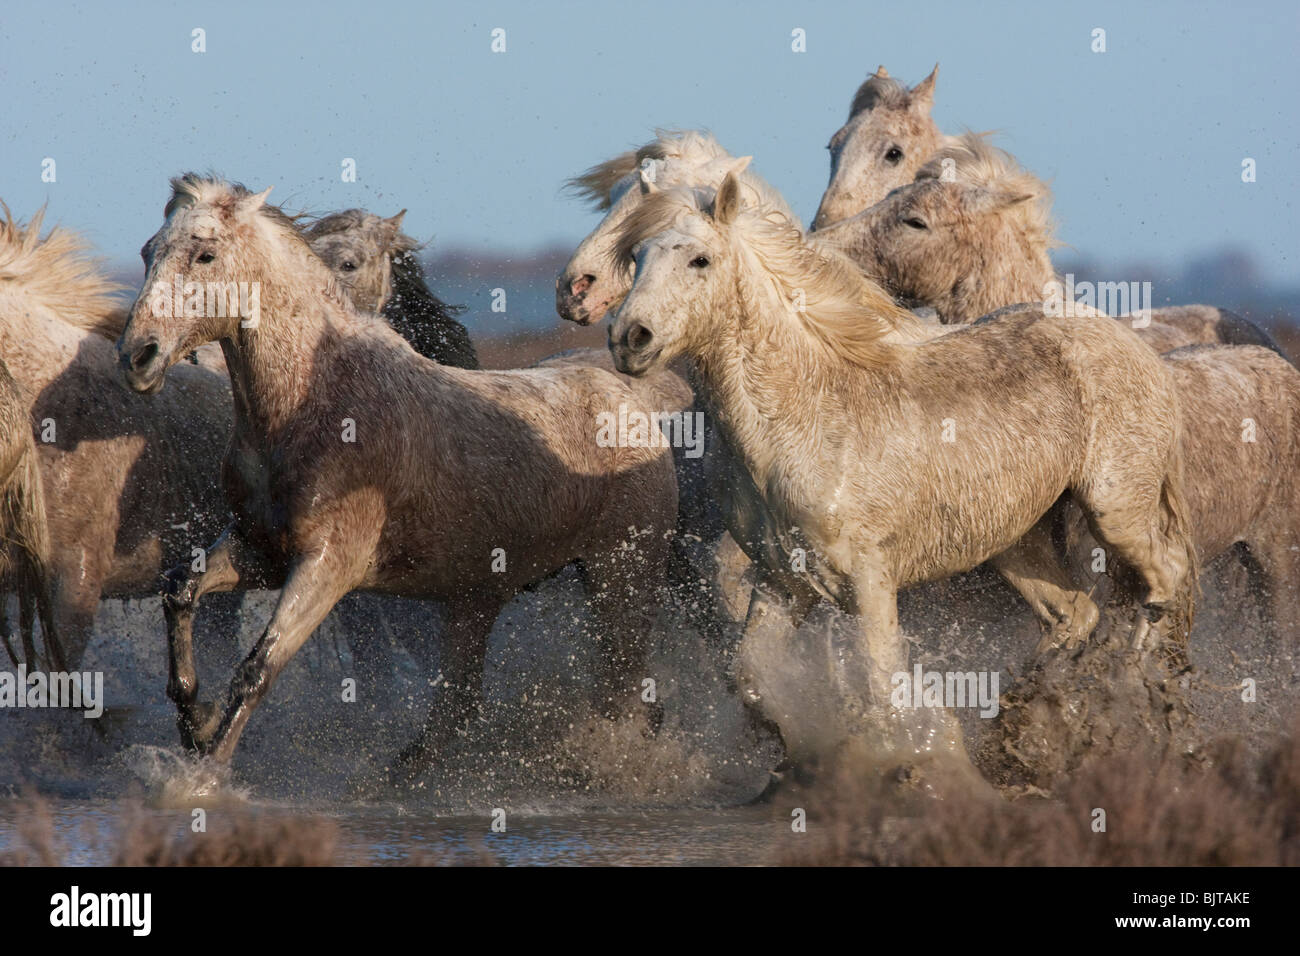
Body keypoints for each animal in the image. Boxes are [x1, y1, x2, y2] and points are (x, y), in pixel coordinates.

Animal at [116, 175, 681, 780]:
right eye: (148, 252)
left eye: (205, 254)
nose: (138, 356)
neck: (314, 400)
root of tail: (636, 404)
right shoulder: (260, 551)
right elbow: (181, 590)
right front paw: (194, 721)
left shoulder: (328, 566)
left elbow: (257, 668)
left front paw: (203, 776)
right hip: (475, 601)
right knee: (460, 707)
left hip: (620, 581)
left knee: (625, 698)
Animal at [603, 171, 1190, 770]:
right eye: (638, 256)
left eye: (700, 260)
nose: (630, 339)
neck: (804, 414)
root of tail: (1135, 347)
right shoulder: (783, 579)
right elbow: (748, 677)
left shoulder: (870, 580)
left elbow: (882, 690)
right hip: (1016, 543)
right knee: (1074, 615)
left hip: (1116, 510)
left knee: (1166, 580)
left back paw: (1140, 696)